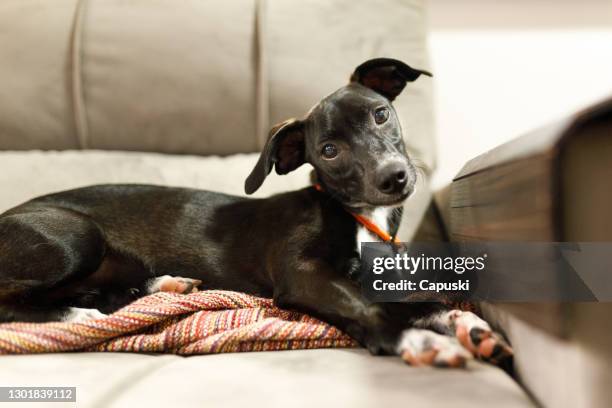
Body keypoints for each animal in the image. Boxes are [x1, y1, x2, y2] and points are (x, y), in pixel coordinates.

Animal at [0, 57, 512, 366]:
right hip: (76, 237)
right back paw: (79, 317)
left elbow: (427, 302)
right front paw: (416, 340)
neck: (359, 218)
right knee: (15, 299)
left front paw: (467, 325)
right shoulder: (303, 275)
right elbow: (366, 306)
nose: (395, 178)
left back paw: (158, 286)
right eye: (328, 151)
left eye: (380, 114)